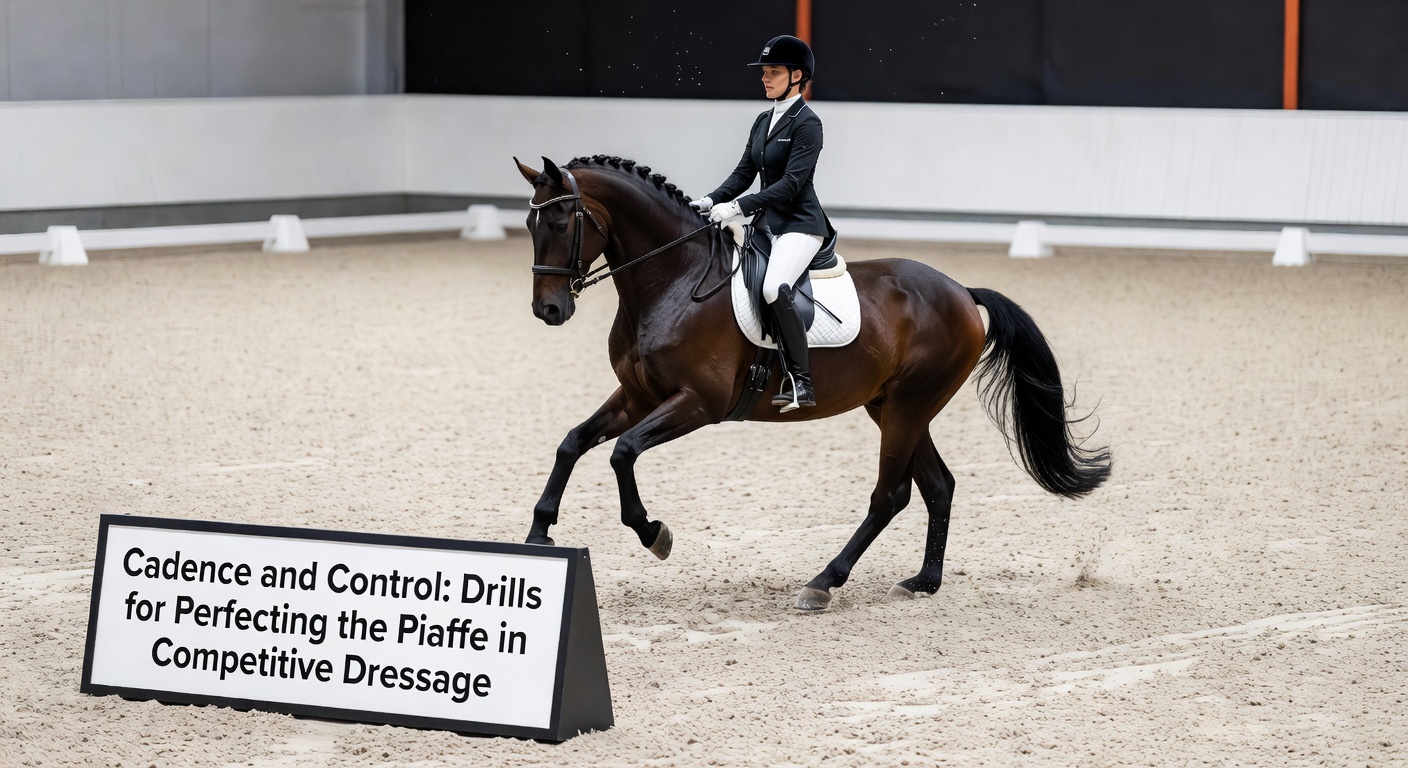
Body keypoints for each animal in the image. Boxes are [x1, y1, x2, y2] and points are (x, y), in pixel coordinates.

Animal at [514, 155, 1111, 611]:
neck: (673, 280)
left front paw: (652, 532)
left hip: (907, 407)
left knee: (889, 496)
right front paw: (539, 533)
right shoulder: (640, 396)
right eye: (529, 227)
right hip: (893, 405)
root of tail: (962, 291)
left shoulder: (698, 403)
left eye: (562, 224)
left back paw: (824, 583)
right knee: (938, 485)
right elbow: (573, 442)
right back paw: (923, 583)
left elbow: (623, 453)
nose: (548, 310)